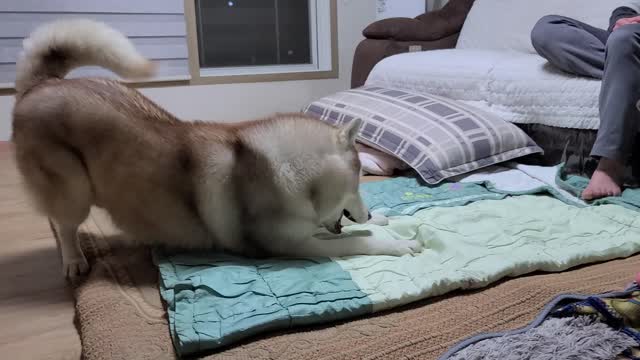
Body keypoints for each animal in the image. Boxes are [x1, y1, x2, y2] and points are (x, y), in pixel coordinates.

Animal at [12, 19, 422, 278]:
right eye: (358, 180)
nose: (368, 213)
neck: (293, 174)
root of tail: (43, 85)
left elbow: (347, 230)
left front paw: (380, 220)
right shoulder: (294, 245)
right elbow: (354, 244)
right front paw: (392, 242)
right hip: (74, 190)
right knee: (63, 224)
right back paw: (73, 260)